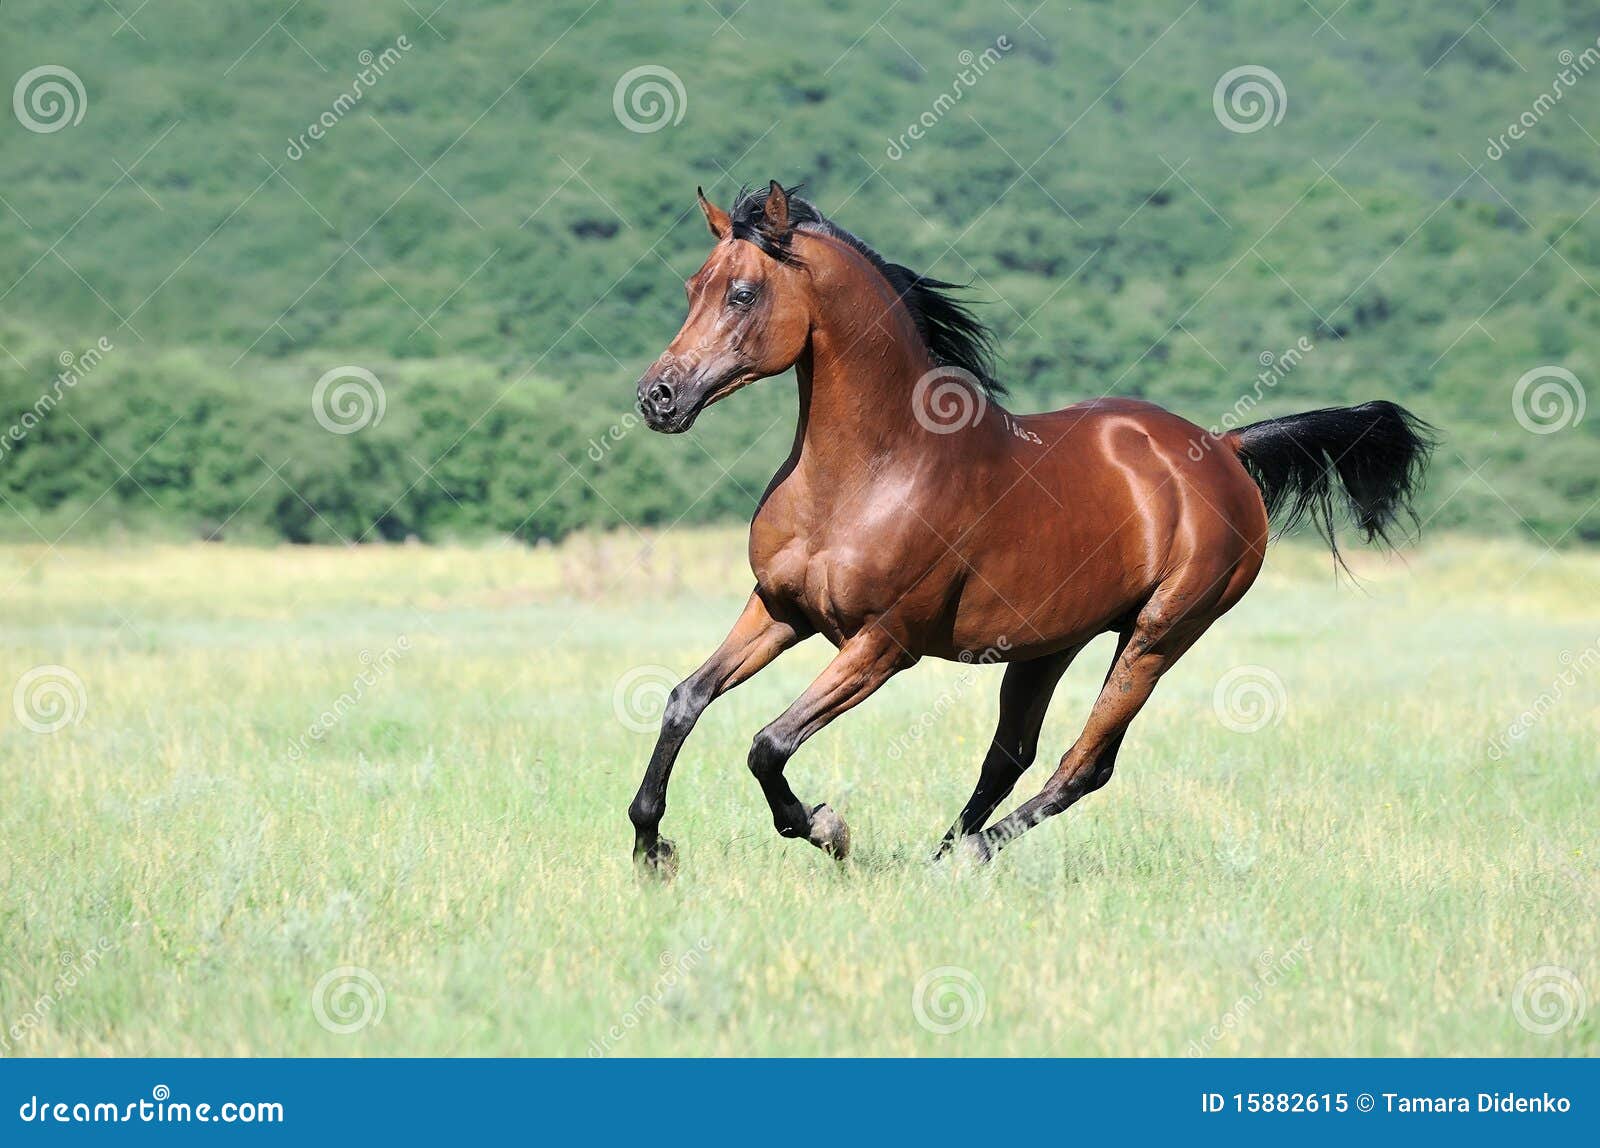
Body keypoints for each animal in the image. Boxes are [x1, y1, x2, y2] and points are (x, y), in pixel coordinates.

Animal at [624, 184, 1427, 876]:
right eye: (693, 286)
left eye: (743, 293)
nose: (657, 397)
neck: (870, 473)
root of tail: (1225, 448)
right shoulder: (779, 609)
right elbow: (684, 700)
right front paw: (650, 848)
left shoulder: (883, 646)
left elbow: (769, 744)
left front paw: (828, 827)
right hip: (1051, 642)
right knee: (1008, 755)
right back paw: (942, 857)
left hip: (1158, 635)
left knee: (1084, 764)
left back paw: (967, 856)